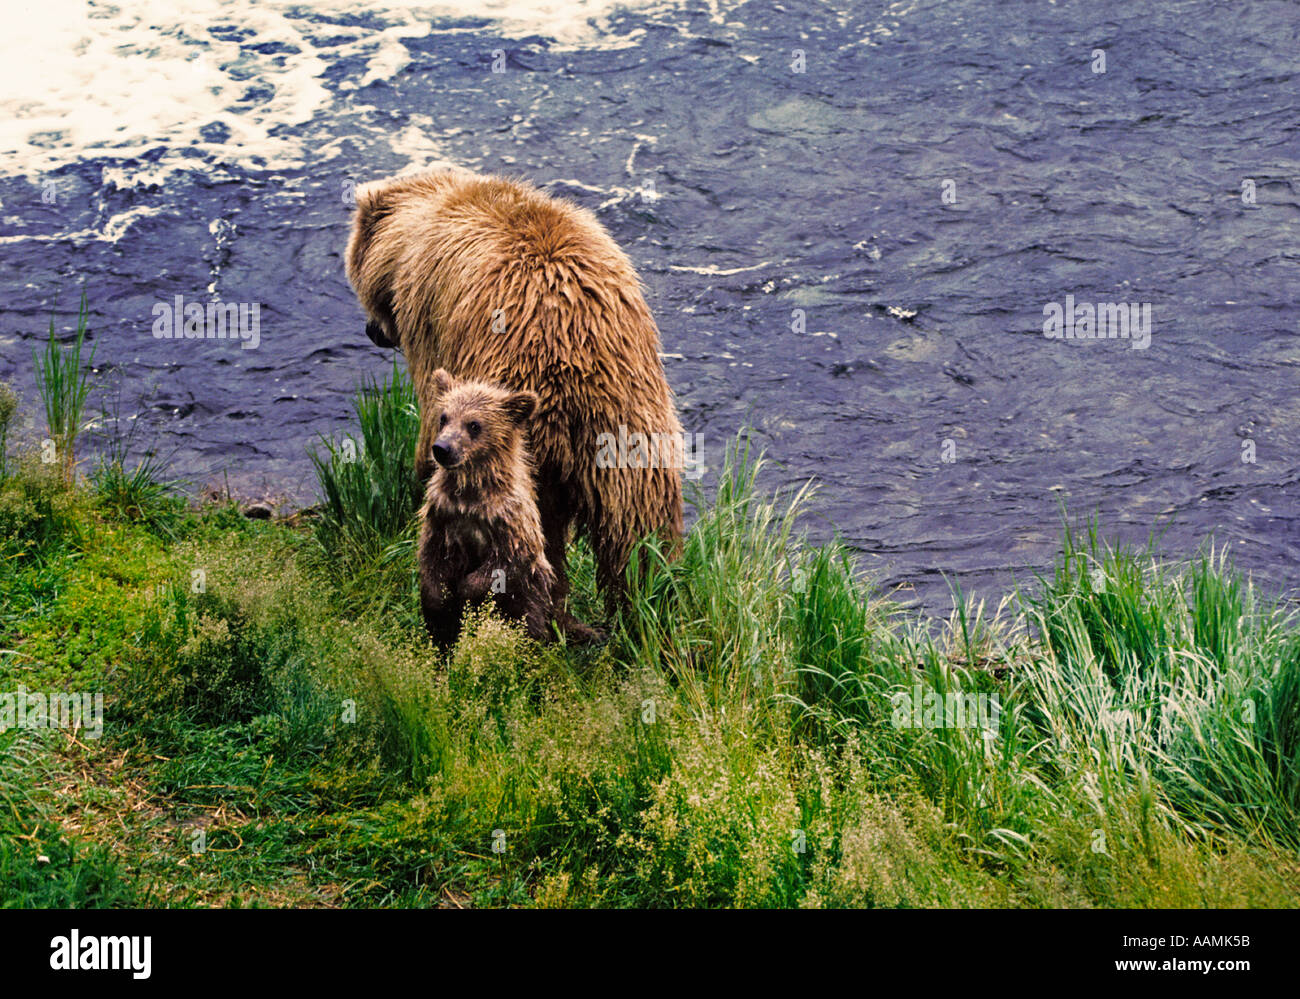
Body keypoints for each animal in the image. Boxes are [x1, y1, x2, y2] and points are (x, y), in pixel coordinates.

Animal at [417, 368, 558, 645]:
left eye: (474, 424)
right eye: (444, 418)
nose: (442, 448)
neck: (470, 497)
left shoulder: (509, 521)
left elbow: (505, 564)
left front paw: (464, 594)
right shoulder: (441, 512)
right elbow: (431, 556)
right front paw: (440, 602)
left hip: (533, 594)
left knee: (530, 620)